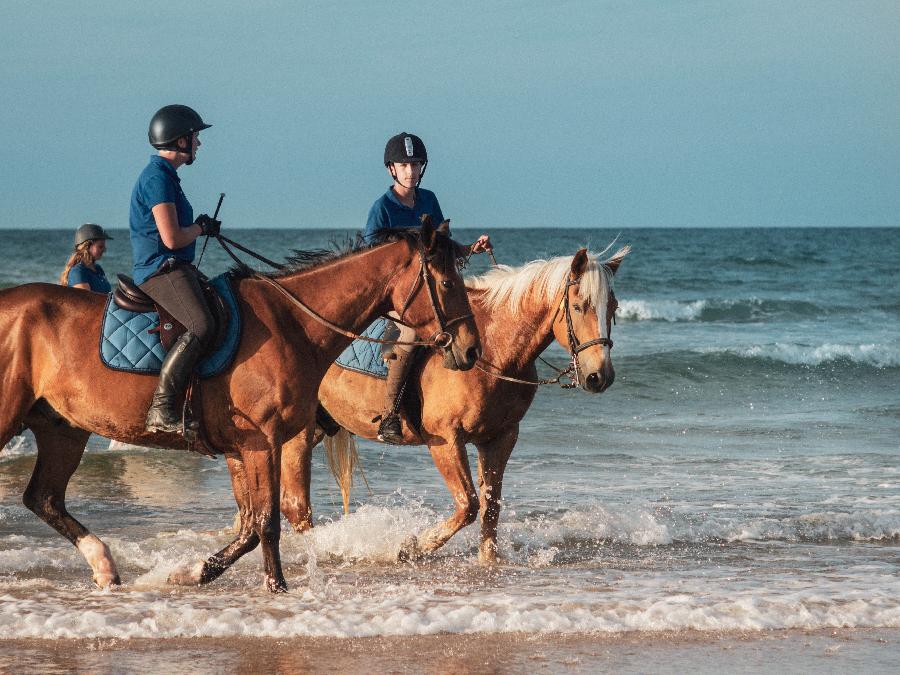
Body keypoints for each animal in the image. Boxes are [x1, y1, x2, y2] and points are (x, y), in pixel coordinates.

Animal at [0, 222, 482, 592]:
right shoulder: (261, 442)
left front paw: (193, 572)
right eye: (447, 283)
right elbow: (266, 524)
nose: (471, 350)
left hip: (62, 427)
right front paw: (275, 588)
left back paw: (104, 565)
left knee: (43, 497)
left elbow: (250, 526)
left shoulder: (240, 449)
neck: (293, 324)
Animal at [278, 246, 628, 564]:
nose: (600, 376)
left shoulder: (500, 438)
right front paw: (411, 547)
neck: (492, 350)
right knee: (296, 506)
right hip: (299, 434)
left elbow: (491, 506)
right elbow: (468, 505)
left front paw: (488, 561)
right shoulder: (446, 441)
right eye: (580, 306)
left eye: (612, 306)